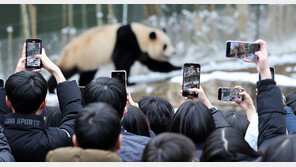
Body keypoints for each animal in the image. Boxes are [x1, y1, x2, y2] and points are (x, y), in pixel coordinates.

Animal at [48, 22, 180, 93]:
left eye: (171, 43)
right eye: (165, 46)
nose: (173, 52)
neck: (141, 35)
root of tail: (64, 50)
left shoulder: (141, 51)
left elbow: (153, 64)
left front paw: (177, 68)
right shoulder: (127, 41)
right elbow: (122, 61)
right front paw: (130, 82)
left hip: (88, 61)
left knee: (87, 73)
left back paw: (84, 84)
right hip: (76, 57)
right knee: (64, 71)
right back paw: (52, 88)